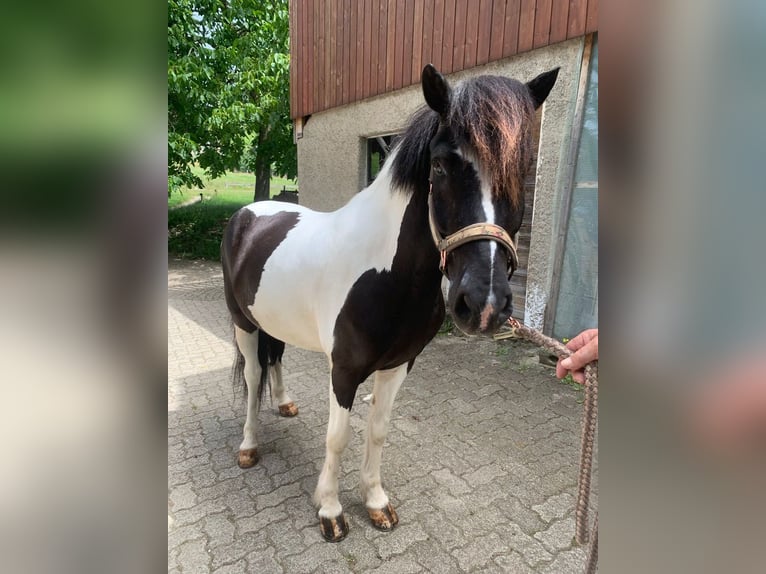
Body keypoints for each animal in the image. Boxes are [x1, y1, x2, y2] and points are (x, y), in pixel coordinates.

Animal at [221, 64, 559, 542]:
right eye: (440, 165)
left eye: (522, 168)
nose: (484, 304)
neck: (387, 276)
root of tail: (249, 214)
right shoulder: (343, 371)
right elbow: (338, 437)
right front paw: (330, 511)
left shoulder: (399, 364)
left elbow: (378, 431)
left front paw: (376, 502)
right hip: (242, 323)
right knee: (253, 376)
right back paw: (249, 447)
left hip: (273, 320)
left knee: (277, 357)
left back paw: (285, 404)